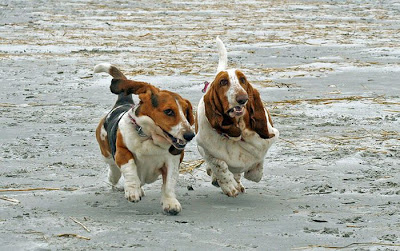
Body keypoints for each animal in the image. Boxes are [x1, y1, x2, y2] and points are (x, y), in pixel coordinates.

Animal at [94, 63, 194, 215]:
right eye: (168, 111)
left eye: (186, 111)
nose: (190, 135)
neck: (149, 137)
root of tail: (122, 102)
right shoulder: (122, 152)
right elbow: (130, 168)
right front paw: (133, 191)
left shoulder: (173, 160)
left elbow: (169, 183)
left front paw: (170, 203)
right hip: (106, 151)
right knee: (112, 166)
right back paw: (115, 177)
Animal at [195, 38, 278, 197]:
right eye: (223, 82)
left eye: (243, 80)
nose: (243, 98)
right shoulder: (205, 147)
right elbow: (219, 165)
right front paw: (229, 186)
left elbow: (255, 172)